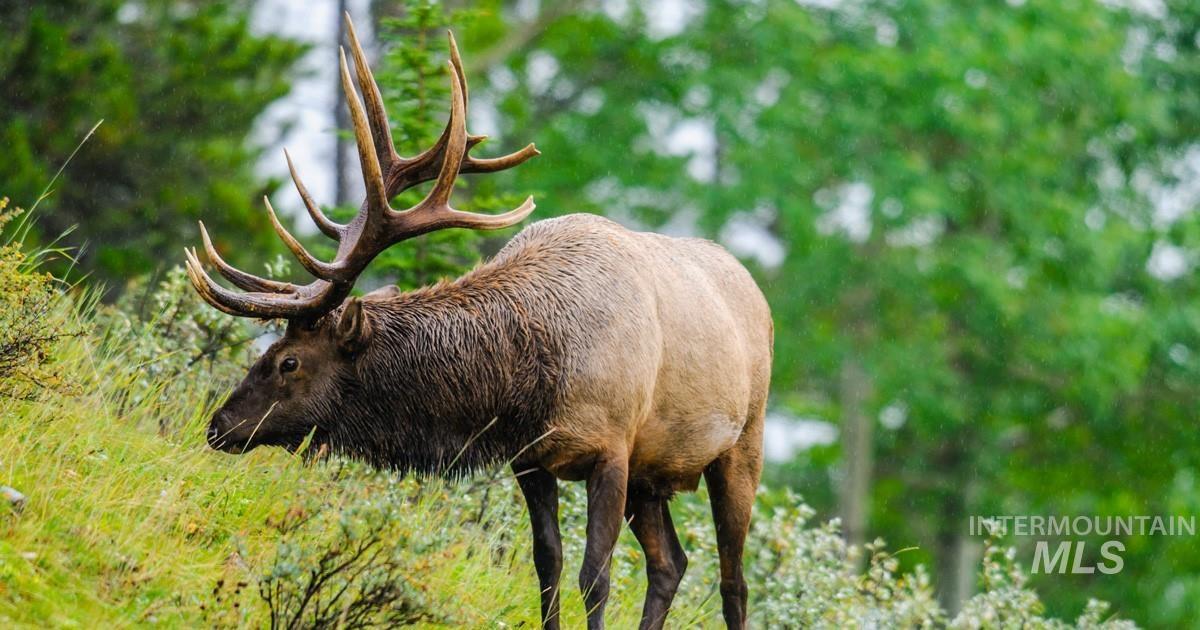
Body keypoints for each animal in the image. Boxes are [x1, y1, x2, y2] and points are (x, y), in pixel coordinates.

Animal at [185, 16, 772, 630]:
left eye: (288, 361)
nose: (219, 424)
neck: (530, 379)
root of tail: (754, 288)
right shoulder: (531, 458)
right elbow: (547, 563)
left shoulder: (612, 446)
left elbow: (596, 576)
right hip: (653, 475)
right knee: (671, 564)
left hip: (741, 445)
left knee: (733, 581)